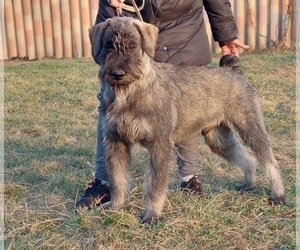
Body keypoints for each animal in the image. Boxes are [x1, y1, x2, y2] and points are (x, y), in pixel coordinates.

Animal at [88, 16, 286, 224]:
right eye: (108, 44)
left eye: (133, 45)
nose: (117, 74)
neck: (129, 92)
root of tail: (234, 71)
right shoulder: (115, 142)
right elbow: (117, 180)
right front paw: (114, 207)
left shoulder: (159, 145)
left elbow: (154, 185)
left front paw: (151, 214)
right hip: (218, 139)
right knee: (247, 158)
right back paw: (248, 185)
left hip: (250, 128)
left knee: (270, 161)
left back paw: (278, 195)